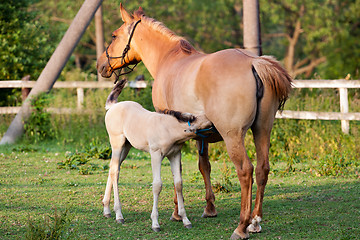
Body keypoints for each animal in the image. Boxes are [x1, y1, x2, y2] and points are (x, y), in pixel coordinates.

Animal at [102, 79, 212, 232]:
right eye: (195, 118)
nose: (213, 120)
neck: (167, 128)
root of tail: (113, 106)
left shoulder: (175, 154)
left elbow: (178, 183)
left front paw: (185, 220)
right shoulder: (156, 154)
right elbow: (157, 185)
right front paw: (155, 223)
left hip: (126, 147)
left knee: (113, 169)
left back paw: (106, 210)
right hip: (117, 144)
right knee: (115, 171)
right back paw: (119, 215)